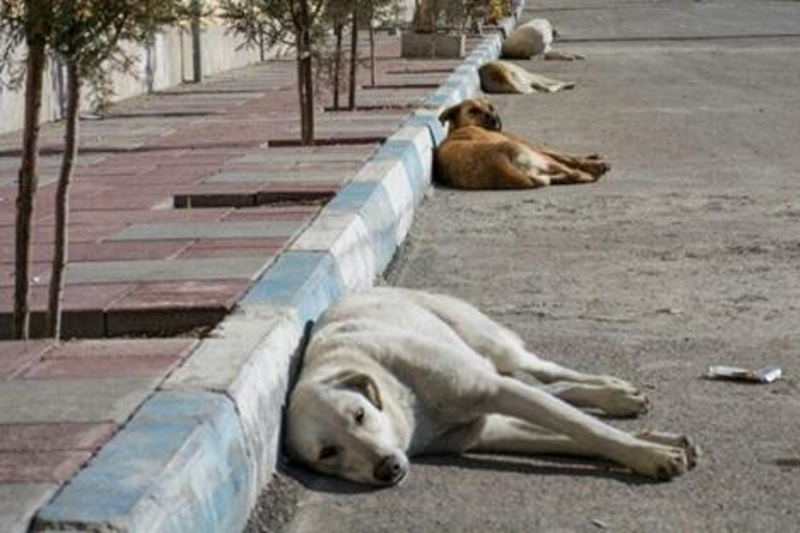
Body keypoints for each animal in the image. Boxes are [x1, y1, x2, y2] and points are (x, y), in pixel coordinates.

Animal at [284, 286, 696, 486]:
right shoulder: (485, 430)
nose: (388, 468)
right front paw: (660, 446)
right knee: (550, 387)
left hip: (492, 346)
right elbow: (571, 438)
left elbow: (588, 428)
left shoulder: (494, 391)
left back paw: (614, 392)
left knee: (545, 371)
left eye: (359, 415)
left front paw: (649, 455)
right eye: (327, 453)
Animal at [434, 97, 608, 189]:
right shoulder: (537, 148)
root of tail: (499, 163)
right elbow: (567, 156)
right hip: (537, 156)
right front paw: (592, 161)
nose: (493, 116)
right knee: (572, 171)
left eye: (491, 107)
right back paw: (593, 172)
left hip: (538, 172)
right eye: (473, 111)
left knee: (563, 175)